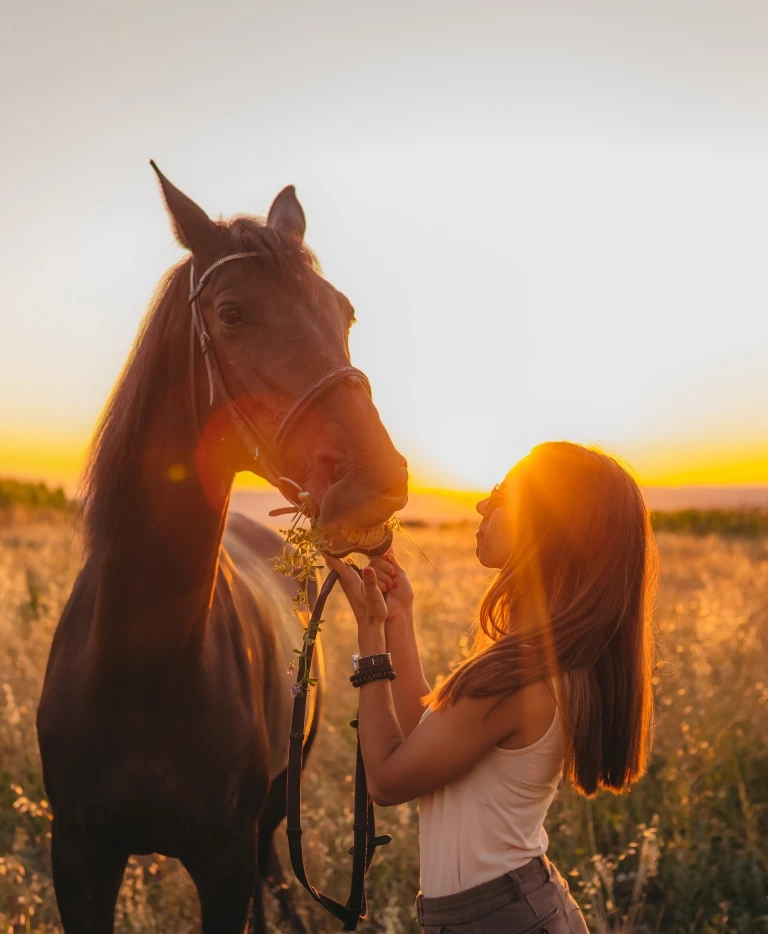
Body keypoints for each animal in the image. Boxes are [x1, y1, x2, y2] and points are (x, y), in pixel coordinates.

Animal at [36, 170, 408, 934]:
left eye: (344, 312)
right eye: (232, 313)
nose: (378, 479)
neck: (141, 669)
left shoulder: (226, 861)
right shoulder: (78, 855)